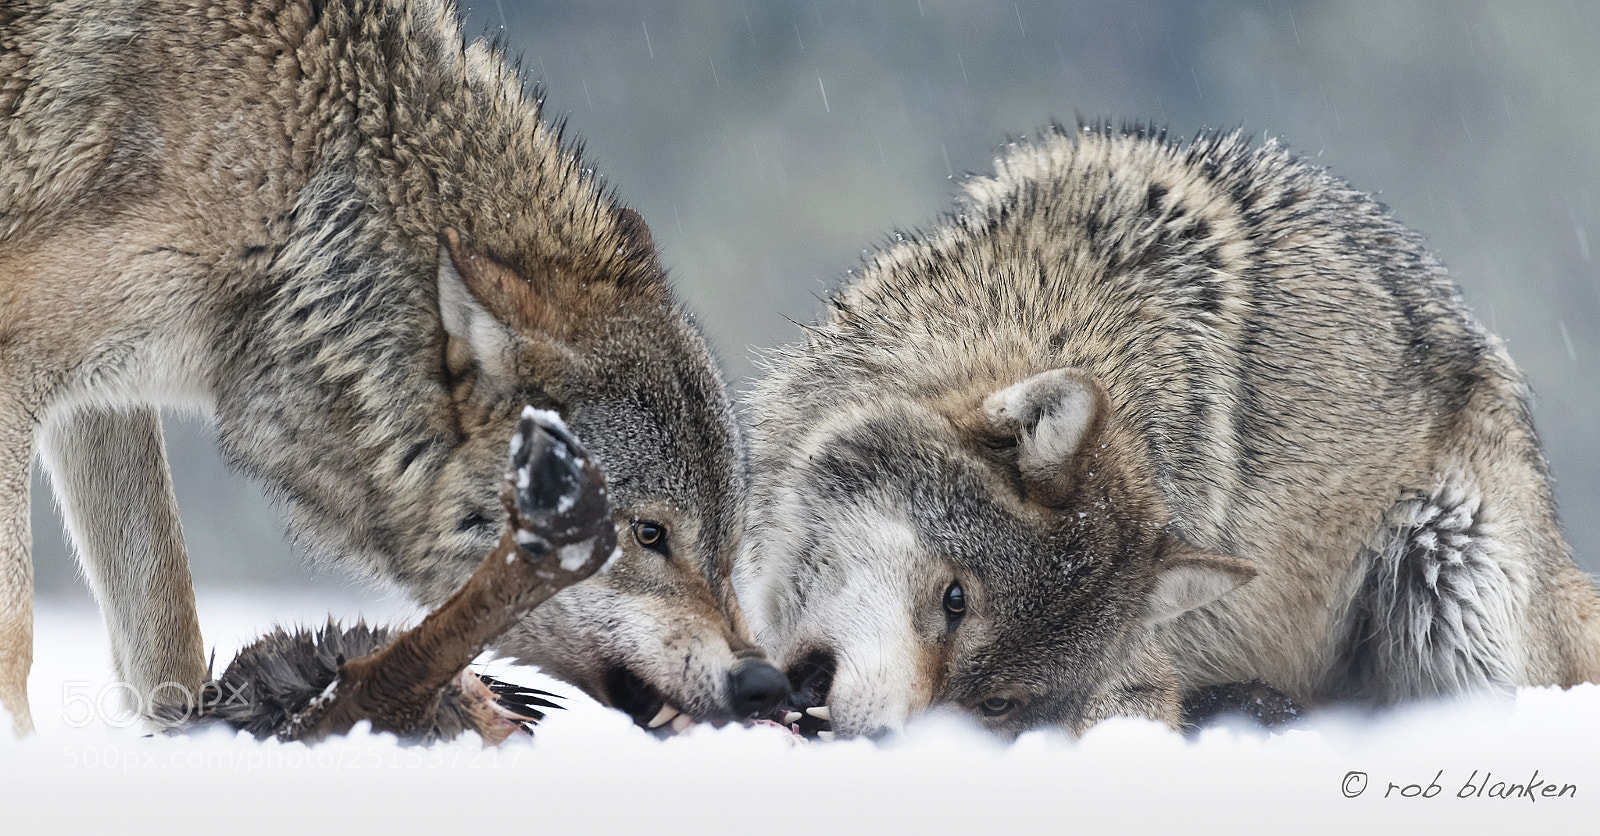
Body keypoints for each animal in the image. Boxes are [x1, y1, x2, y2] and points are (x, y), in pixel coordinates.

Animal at [0, 0, 786, 737]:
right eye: (649, 534)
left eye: (727, 543)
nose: (763, 685)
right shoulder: (23, 357)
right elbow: (16, 635)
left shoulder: (104, 399)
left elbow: (166, 641)